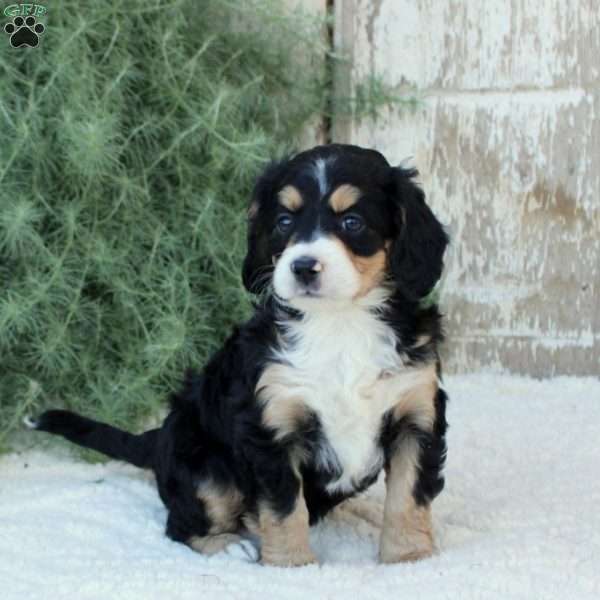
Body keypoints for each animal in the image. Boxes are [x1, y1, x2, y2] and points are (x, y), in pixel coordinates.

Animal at [29, 145, 450, 568]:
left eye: (352, 222)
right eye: (283, 221)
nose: (303, 267)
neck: (339, 324)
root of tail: (160, 437)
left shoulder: (417, 415)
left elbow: (407, 496)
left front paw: (408, 558)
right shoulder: (272, 424)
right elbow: (284, 507)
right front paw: (293, 565)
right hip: (204, 467)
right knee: (181, 525)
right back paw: (228, 545)